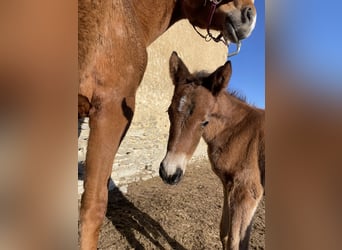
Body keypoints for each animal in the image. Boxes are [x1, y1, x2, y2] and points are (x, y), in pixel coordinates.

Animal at [160, 51, 264, 249]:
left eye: (205, 121)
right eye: (169, 112)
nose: (169, 173)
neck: (237, 130)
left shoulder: (247, 193)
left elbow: (236, 242)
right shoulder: (228, 185)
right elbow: (224, 232)